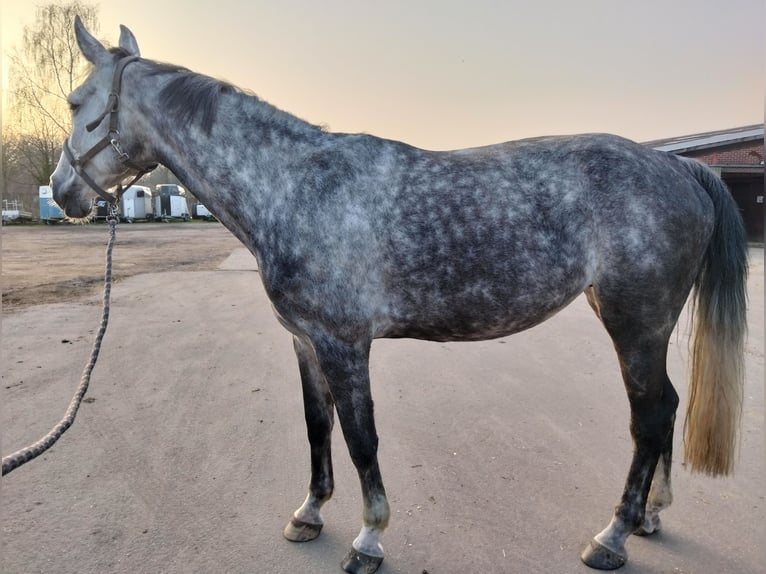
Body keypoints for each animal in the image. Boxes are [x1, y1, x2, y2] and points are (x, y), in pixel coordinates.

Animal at [51, 17, 748, 574]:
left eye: (77, 101)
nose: (62, 193)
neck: (294, 187)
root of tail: (680, 166)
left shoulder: (344, 345)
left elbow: (362, 438)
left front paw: (369, 539)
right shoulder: (305, 342)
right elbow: (318, 427)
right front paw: (310, 512)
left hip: (636, 323)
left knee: (649, 417)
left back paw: (612, 536)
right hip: (637, 323)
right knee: (665, 409)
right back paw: (651, 514)